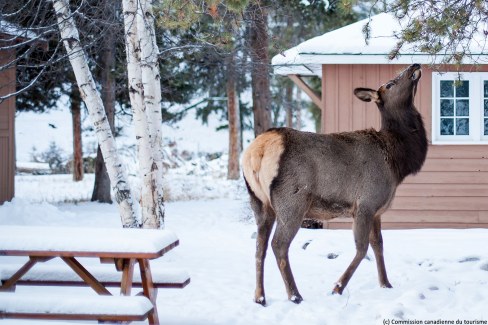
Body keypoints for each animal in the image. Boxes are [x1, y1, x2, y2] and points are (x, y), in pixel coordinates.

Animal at [244, 63, 428, 304]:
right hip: (292, 201)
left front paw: (386, 284)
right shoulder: (365, 203)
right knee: (279, 244)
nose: (414, 65)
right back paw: (295, 295)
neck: (398, 163)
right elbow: (362, 249)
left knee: (259, 246)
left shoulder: (377, 210)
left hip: (259, 202)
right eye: (390, 84)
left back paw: (259, 296)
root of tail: (258, 150)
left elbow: (378, 245)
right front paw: (338, 287)